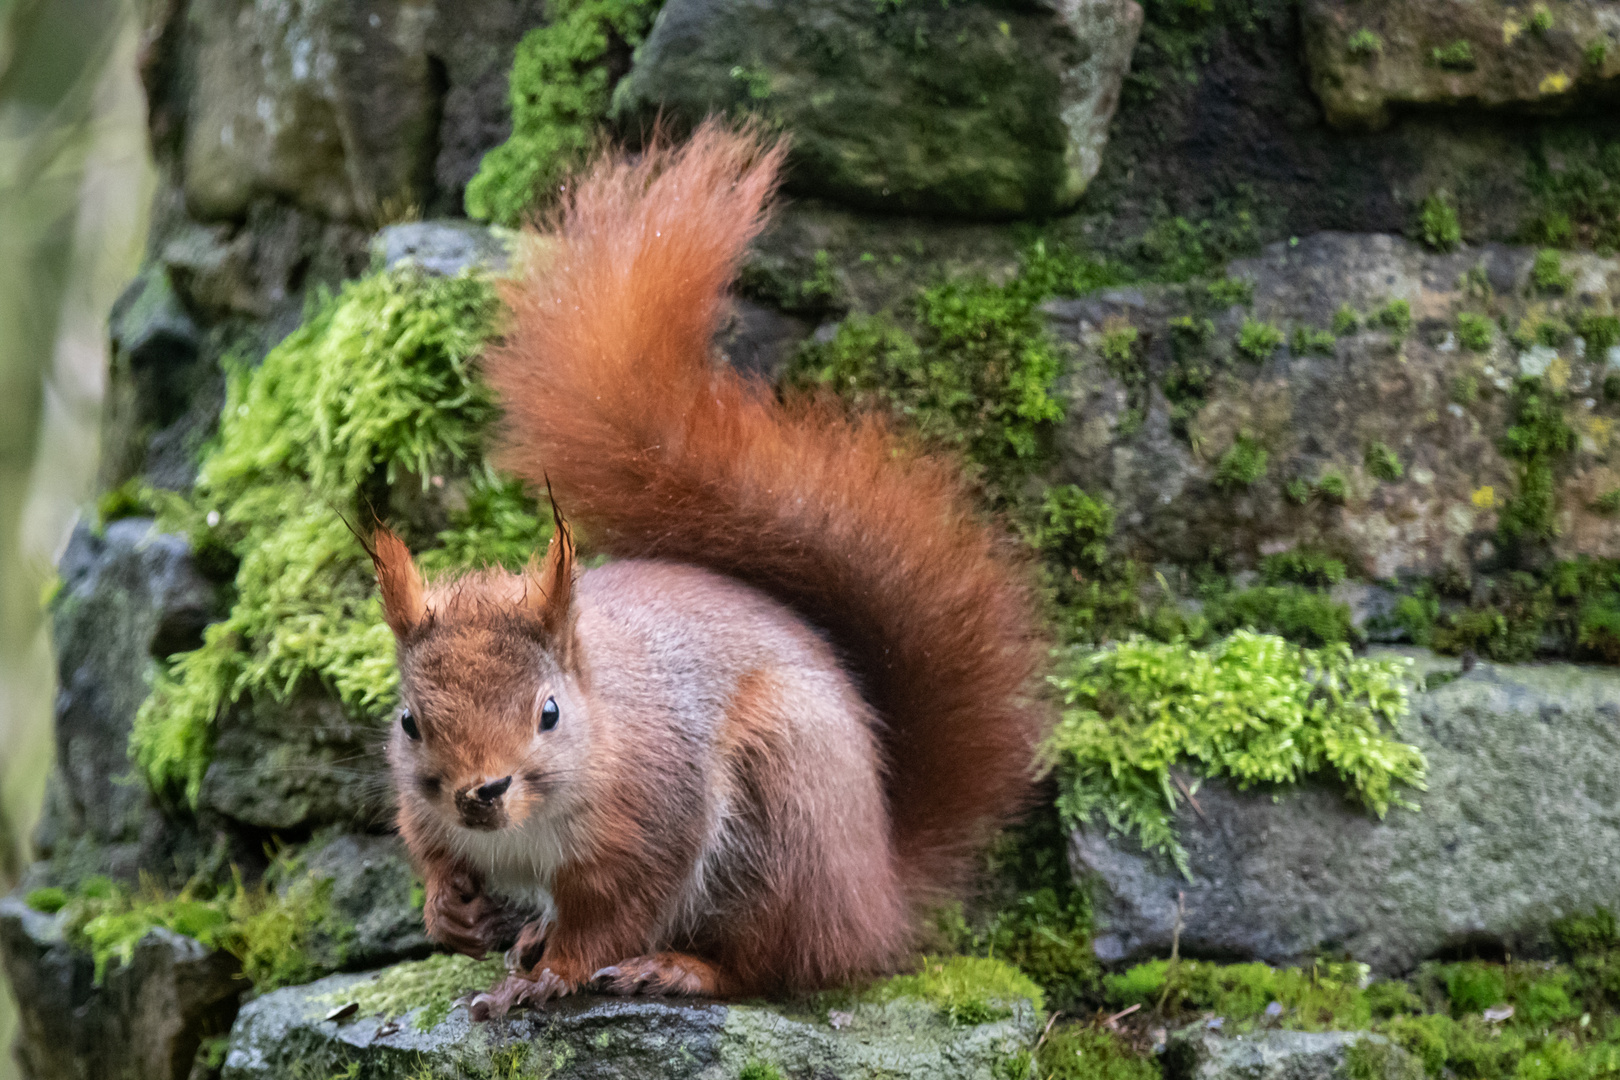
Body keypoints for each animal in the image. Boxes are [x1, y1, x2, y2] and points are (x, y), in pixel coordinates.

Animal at [369, 122, 1049, 1016]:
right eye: (410, 722)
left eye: (549, 712)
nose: (479, 792)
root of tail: (878, 897)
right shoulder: (425, 809)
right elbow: (432, 853)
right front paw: (449, 911)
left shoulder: (654, 817)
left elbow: (614, 916)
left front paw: (549, 977)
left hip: (780, 820)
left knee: (774, 962)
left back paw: (673, 966)